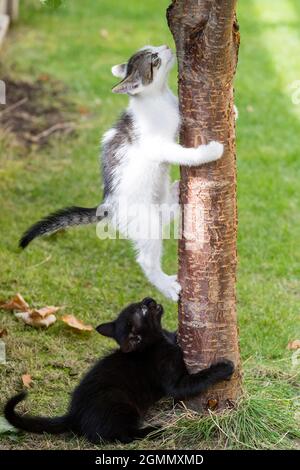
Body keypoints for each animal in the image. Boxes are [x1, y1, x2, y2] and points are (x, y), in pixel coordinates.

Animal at [4, 300, 234, 442]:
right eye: (142, 310)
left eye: (140, 304)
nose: (149, 300)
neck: (155, 342)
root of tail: (73, 414)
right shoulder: (173, 381)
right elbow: (196, 381)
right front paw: (224, 368)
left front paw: (177, 334)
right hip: (120, 403)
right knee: (120, 435)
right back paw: (155, 430)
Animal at [19, 45, 224, 302]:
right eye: (154, 59)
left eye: (153, 48)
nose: (166, 47)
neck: (158, 98)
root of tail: (108, 204)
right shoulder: (158, 145)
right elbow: (184, 154)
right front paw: (211, 151)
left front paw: (233, 111)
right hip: (145, 222)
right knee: (146, 259)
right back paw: (166, 285)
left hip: (156, 209)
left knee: (166, 213)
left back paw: (176, 192)